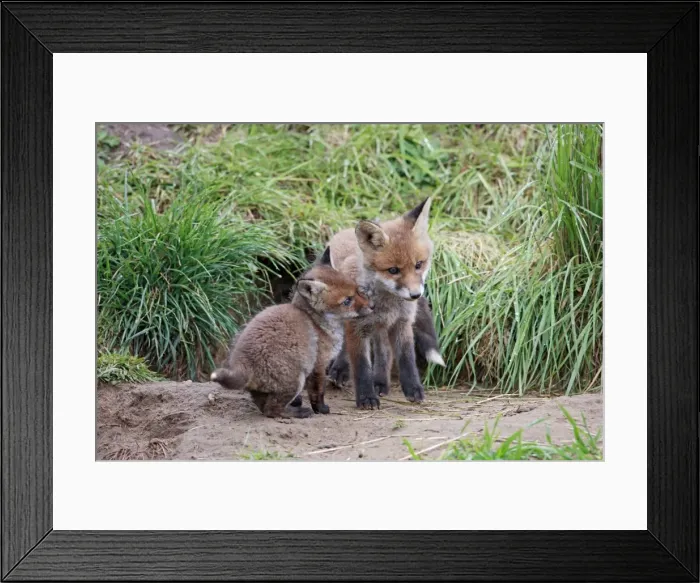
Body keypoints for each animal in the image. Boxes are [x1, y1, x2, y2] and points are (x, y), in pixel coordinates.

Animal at [210, 247, 373, 418]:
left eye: (357, 290)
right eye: (347, 301)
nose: (372, 306)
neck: (315, 322)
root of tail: (242, 363)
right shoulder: (318, 365)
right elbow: (318, 393)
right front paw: (321, 409)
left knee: (263, 407)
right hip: (296, 380)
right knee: (272, 411)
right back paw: (298, 412)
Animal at [326, 197, 443, 409]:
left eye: (419, 264)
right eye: (393, 270)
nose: (415, 295)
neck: (388, 303)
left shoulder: (402, 323)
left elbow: (406, 358)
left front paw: (414, 389)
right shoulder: (357, 328)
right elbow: (361, 366)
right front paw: (366, 397)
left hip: (381, 327)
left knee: (384, 352)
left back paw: (380, 383)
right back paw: (342, 370)